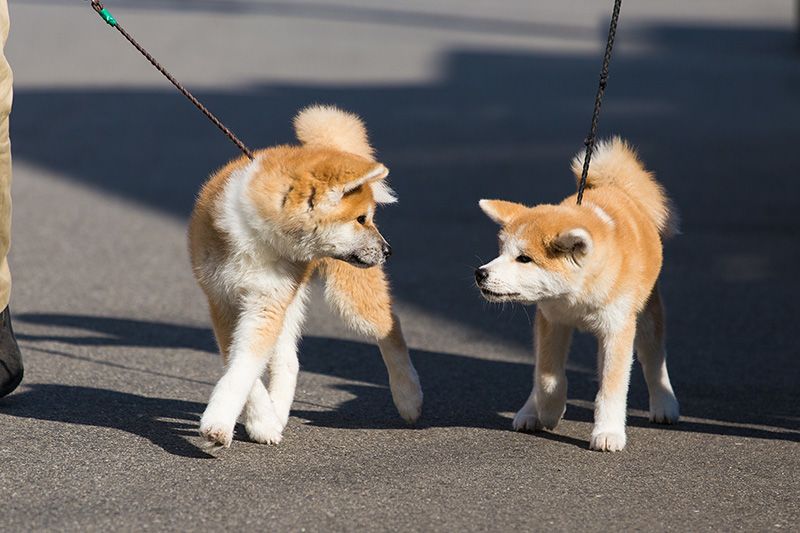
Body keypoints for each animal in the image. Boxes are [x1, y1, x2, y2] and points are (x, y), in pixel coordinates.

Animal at [190, 106, 422, 446]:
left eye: (369, 218)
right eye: (360, 219)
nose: (388, 251)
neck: (258, 238)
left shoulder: (265, 303)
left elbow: (243, 368)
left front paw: (218, 423)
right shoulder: (224, 302)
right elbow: (244, 369)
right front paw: (262, 421)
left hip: (348, 294)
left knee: (391, 327)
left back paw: (409, 396)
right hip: (291, 297)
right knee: (289, 360)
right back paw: (277, 411)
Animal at [478, 136, 680, 448]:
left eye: (524, 258)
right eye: (501, 252)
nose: (480, 274)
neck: (576, 299)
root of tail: (617, 187)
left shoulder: (618, 328)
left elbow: (611, 387)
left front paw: (608, 432)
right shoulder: (552, 321)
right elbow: (548, 378)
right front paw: (549, 411)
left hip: (646, 316)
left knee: (653, 358)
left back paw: (664, 403)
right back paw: (530, 410)